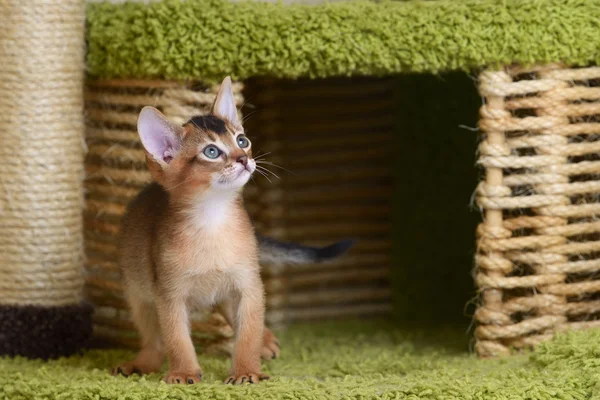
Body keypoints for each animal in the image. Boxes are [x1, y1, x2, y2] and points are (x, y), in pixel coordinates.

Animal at [112, 77, 354, 384]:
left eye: (242, 140)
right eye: (211, 151)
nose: (243, 159)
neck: (213, 222)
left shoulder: (248, 285)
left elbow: (248, 332)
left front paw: (246, 372)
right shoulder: (169, 294)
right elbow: (176, 339)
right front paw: (184, 373)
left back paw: (265, 341)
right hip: (138, 293)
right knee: (153, 341)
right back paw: (139, 364)